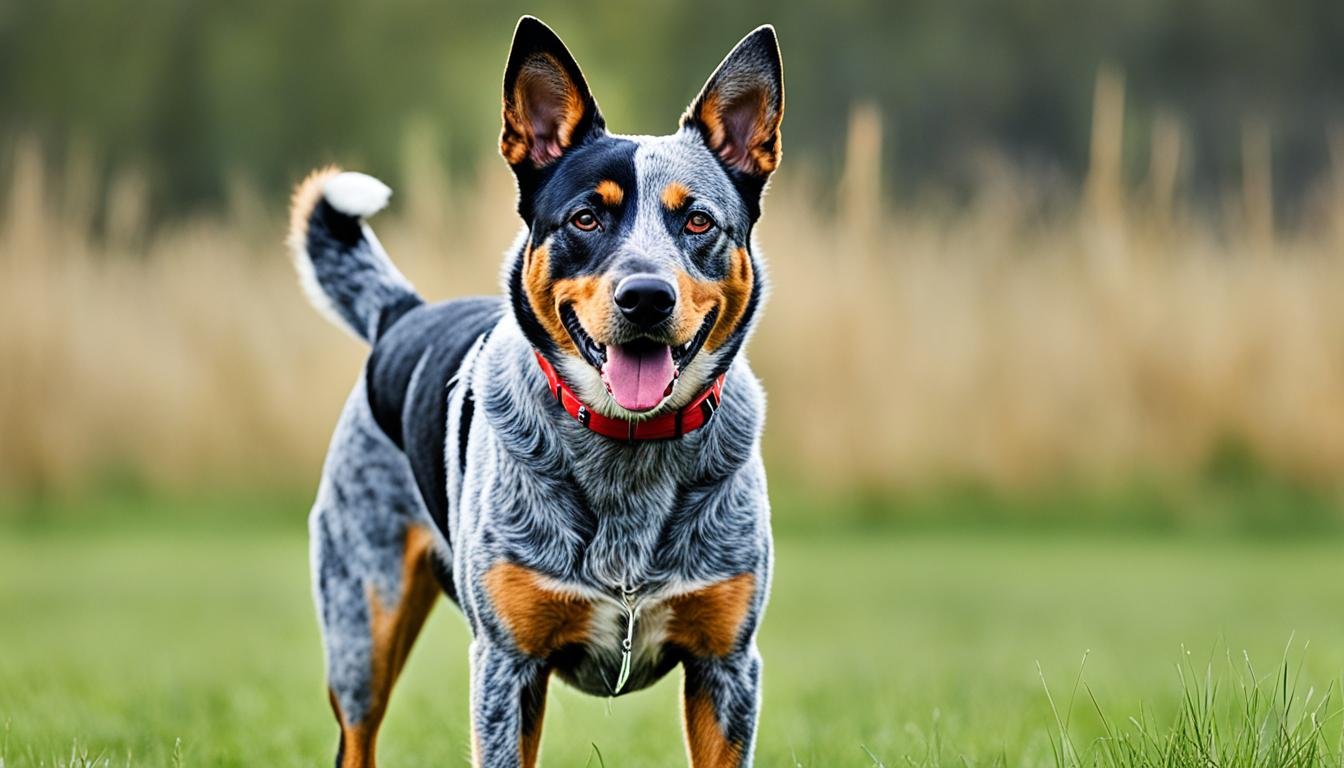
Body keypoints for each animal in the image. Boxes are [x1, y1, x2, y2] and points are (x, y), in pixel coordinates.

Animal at [288, 17, 784, 768]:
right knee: (357, 735)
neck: (628, 456)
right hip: (360, 629)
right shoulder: (507, 664)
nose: (646, 296)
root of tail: (401, 314)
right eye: (585, 218)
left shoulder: (727, 664)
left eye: (698, 221)